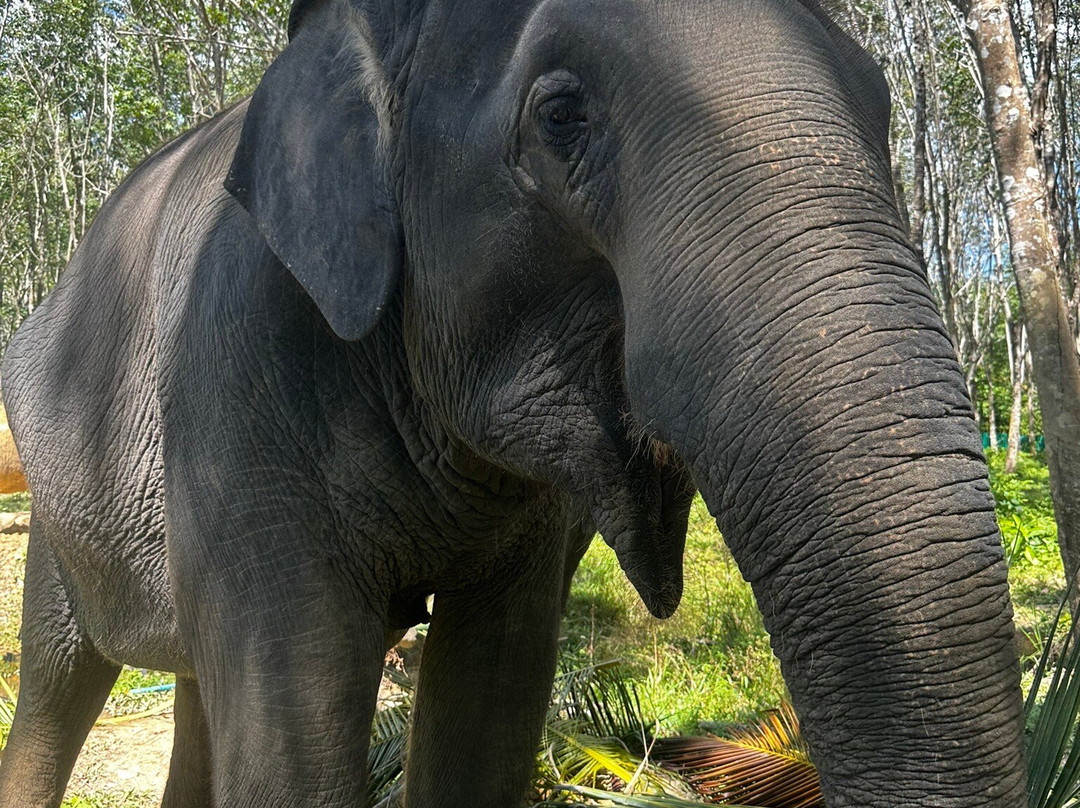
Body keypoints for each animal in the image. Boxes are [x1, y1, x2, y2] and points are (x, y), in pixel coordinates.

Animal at [0, 0, 1027, 805]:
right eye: (561, 115)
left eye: (881, 103)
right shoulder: (237, 370)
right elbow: (296, 716)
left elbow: (491, 700)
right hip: (56, 517)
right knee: (56, 683)